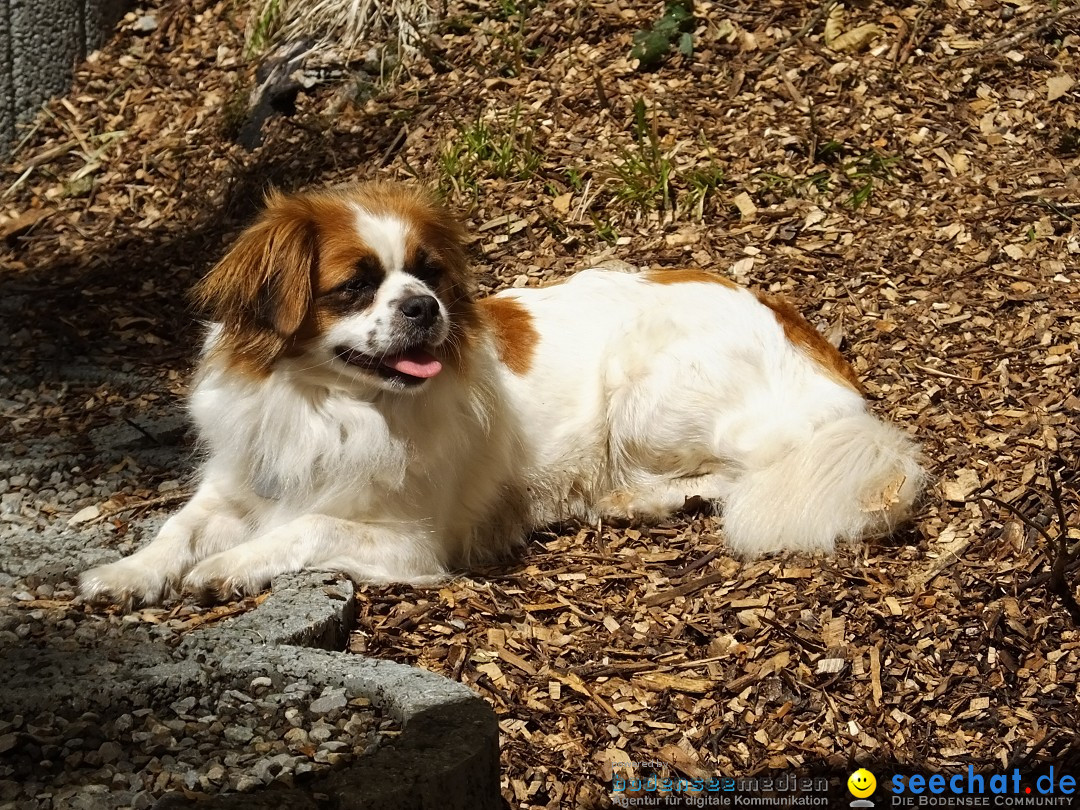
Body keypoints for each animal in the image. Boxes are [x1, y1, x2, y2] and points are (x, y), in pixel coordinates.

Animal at [79, 180, 924, 604]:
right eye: (355, 287)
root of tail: (794, 321)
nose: (425, 306)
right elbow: (177, 529)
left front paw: (227, 568)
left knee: (753, 470)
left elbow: (302, 531)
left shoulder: (406, 542)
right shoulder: (237, 485)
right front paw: (126, 575)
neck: (325, 403)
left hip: (651, 387)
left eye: (428, 273)